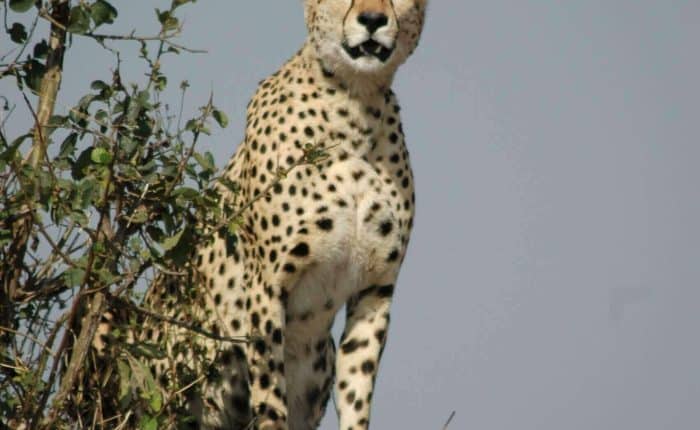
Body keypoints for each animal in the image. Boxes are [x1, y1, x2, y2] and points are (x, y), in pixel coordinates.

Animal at [108, 1, 427, 429]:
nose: (373, 20)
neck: (357, 108)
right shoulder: (267, 284)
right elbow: (270, 393)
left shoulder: (375, 288)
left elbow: (356, 392)